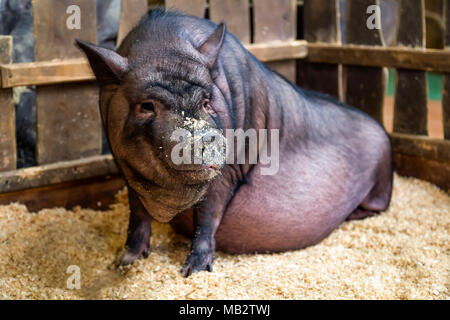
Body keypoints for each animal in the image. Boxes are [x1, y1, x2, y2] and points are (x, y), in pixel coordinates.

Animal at [75, 8, 392, 276]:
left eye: (206, 101)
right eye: (147, 106)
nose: (207, 139)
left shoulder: (228, 171)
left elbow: (207, 216)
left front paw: (193, 271)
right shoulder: (125, 170)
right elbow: (137, 213)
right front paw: (122, 263)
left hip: (380, 181)